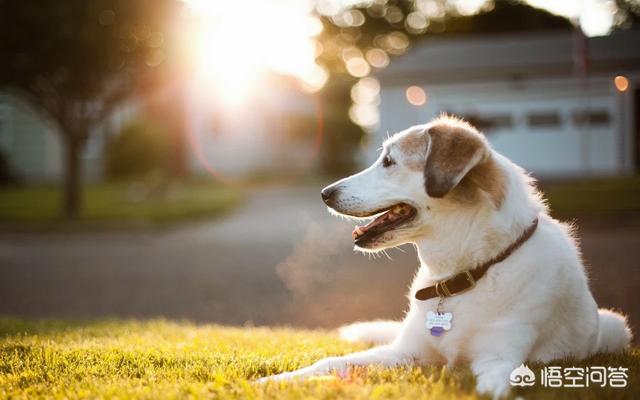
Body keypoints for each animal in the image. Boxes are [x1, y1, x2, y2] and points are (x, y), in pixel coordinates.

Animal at [258, 115, 632, 396]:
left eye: (389, 162)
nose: (325, 193)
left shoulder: (498, 356)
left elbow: (493, 385)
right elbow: (330, 363)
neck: (464, 275)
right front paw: (276, 380)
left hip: (615, 325)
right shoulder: (405, 352)